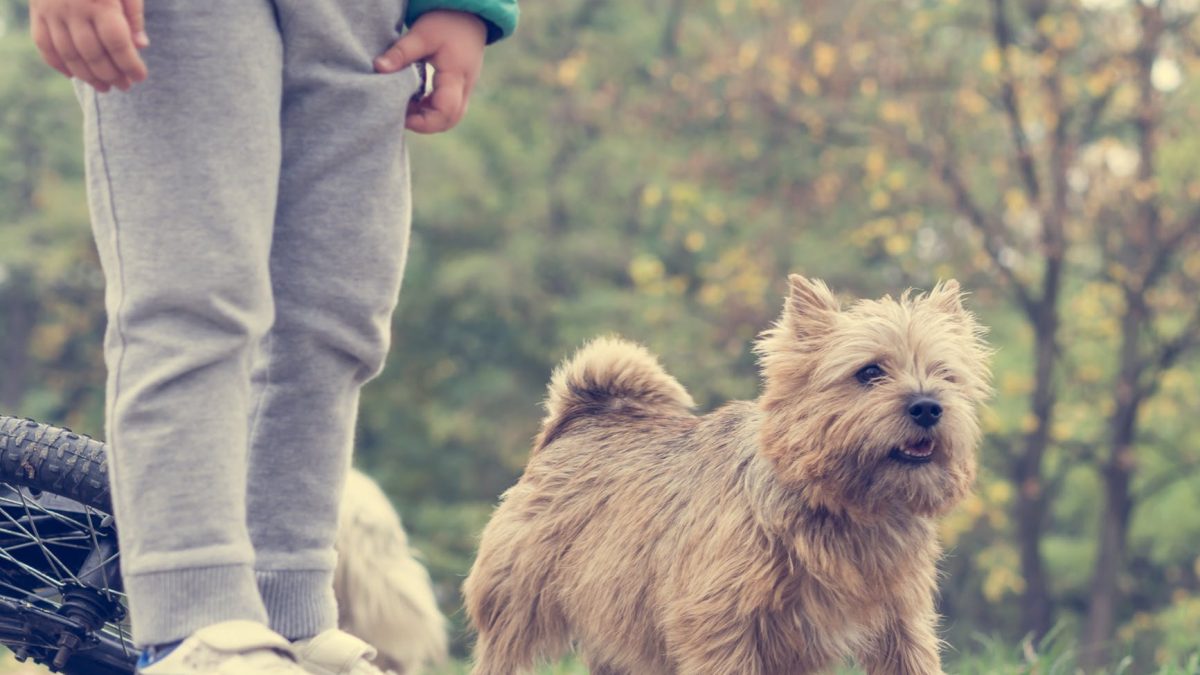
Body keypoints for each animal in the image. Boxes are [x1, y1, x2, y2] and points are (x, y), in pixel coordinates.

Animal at [458, 275, 993, 672]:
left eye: (946, 374)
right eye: (869, 373)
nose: (927, 406)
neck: (847, 508)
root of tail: (581, 419)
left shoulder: (900, 624)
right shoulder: (721, 625)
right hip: (518, 612)